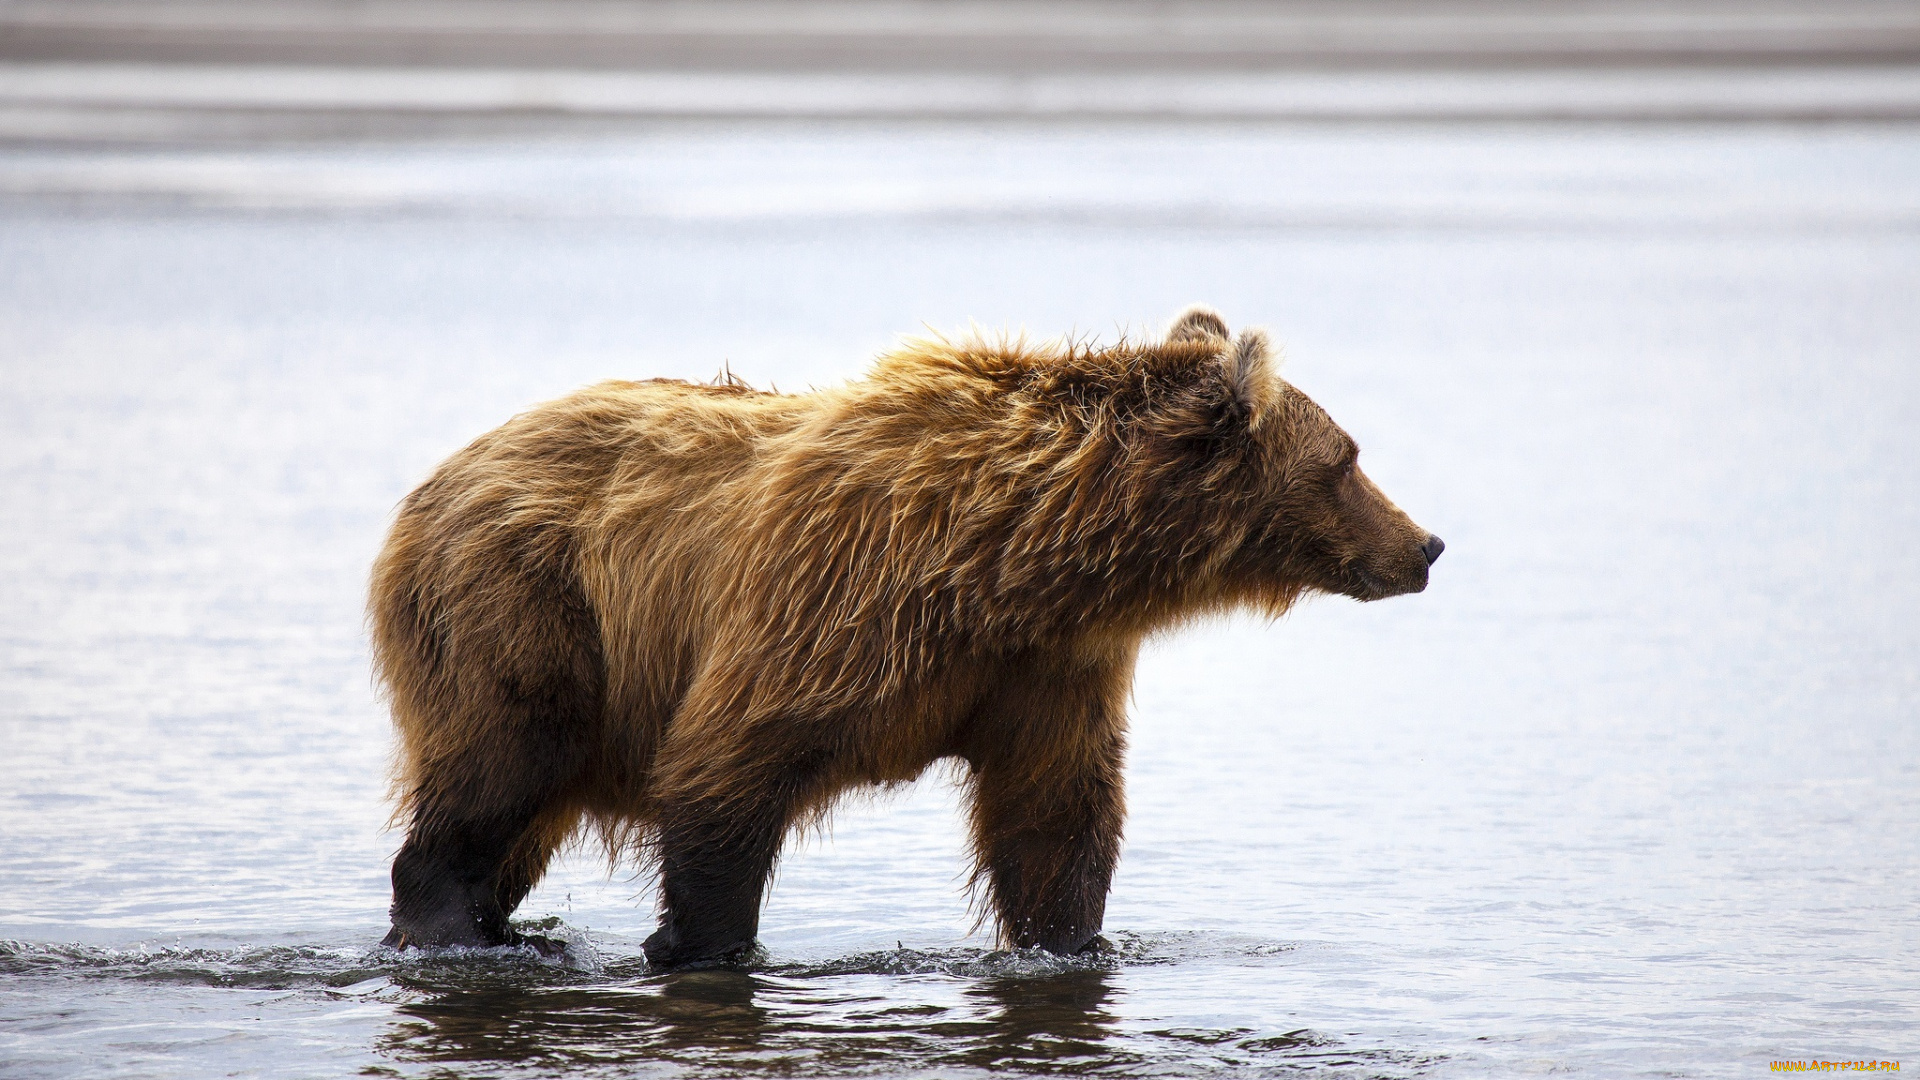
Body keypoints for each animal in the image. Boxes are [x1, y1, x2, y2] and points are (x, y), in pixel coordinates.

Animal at [370, 307, 1443, 960]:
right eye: (1348, 458)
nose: (1425, 544)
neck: (1021, 561)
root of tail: (435, 481)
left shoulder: (1047, 668)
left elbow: (1055, 818)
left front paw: (1072, 939)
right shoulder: (832, 605)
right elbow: (727, 765)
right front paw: (704, 944)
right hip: (525, 607)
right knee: (499, 768)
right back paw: (453, 924)